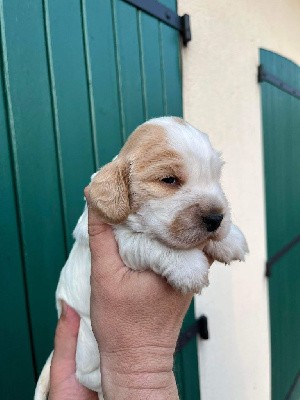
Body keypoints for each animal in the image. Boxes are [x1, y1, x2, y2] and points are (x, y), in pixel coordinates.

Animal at [34, 117, 247, 400]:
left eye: (215, 177)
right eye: (169, 179)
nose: (216, 219)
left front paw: (231, 238)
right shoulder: (124, 242)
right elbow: (150, 243)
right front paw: (188, 266)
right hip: (88, 338)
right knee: (86, 375)